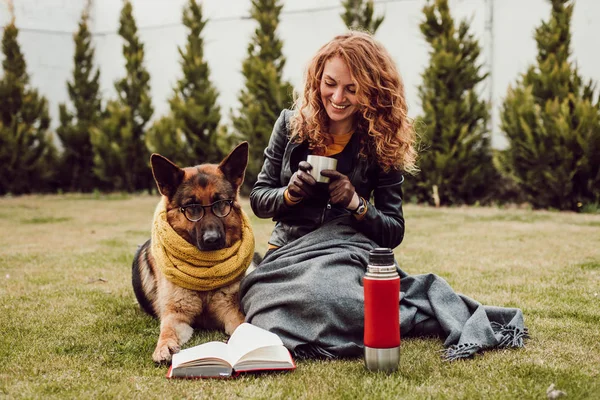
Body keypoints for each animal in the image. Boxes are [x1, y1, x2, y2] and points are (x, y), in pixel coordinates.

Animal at [131, 141, 258, 362]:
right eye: (191, 206)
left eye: (220, 203)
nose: (212, 239)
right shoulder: (175, 316)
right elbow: (166, 331)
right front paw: (163, 347)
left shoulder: (230, 310)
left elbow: (242, 324)